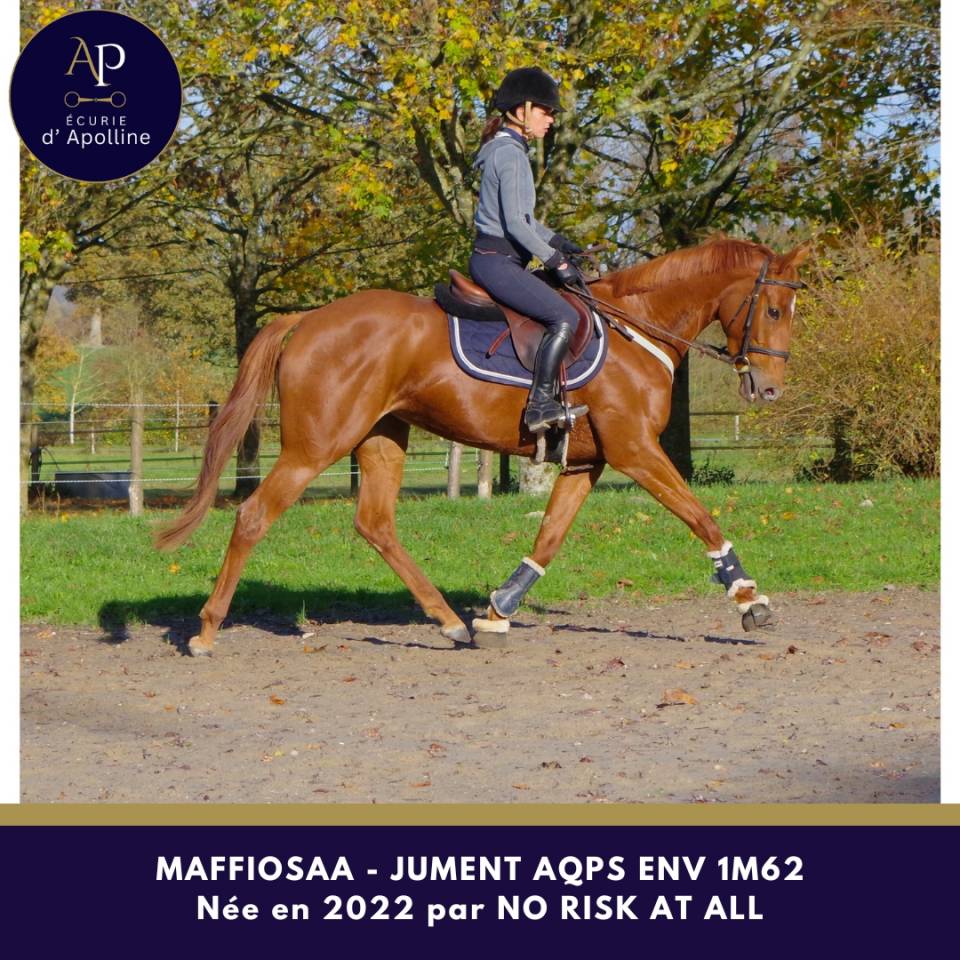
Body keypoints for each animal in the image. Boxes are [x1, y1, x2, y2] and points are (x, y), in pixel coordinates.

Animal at [155, 235, 809, 656]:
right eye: (775, 309)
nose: (771, 388)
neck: (636, 329)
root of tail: (311, 317)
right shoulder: (636, 452)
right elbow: (700, 517)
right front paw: (748, 599)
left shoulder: (587, 464)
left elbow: (548, 539)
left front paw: (498, 610)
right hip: (315, 447)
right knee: (254, 515)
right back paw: (207, 631)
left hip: (381, 437)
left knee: (375, 524)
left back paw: (450, 623)